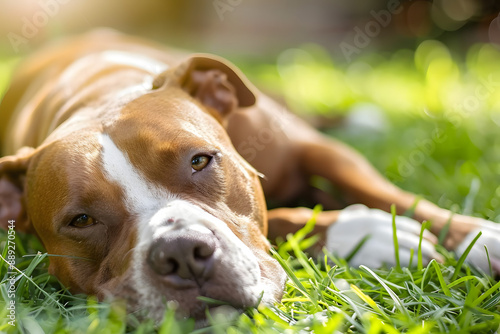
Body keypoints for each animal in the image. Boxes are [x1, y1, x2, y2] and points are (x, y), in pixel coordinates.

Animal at [0, 30, 500, 322]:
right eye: (81, 220)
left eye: (200, 160)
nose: (180, 253)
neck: (95, 95)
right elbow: (281, 219)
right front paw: (365, 234)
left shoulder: (313, 150)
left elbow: (389, 192)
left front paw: (477, 237)